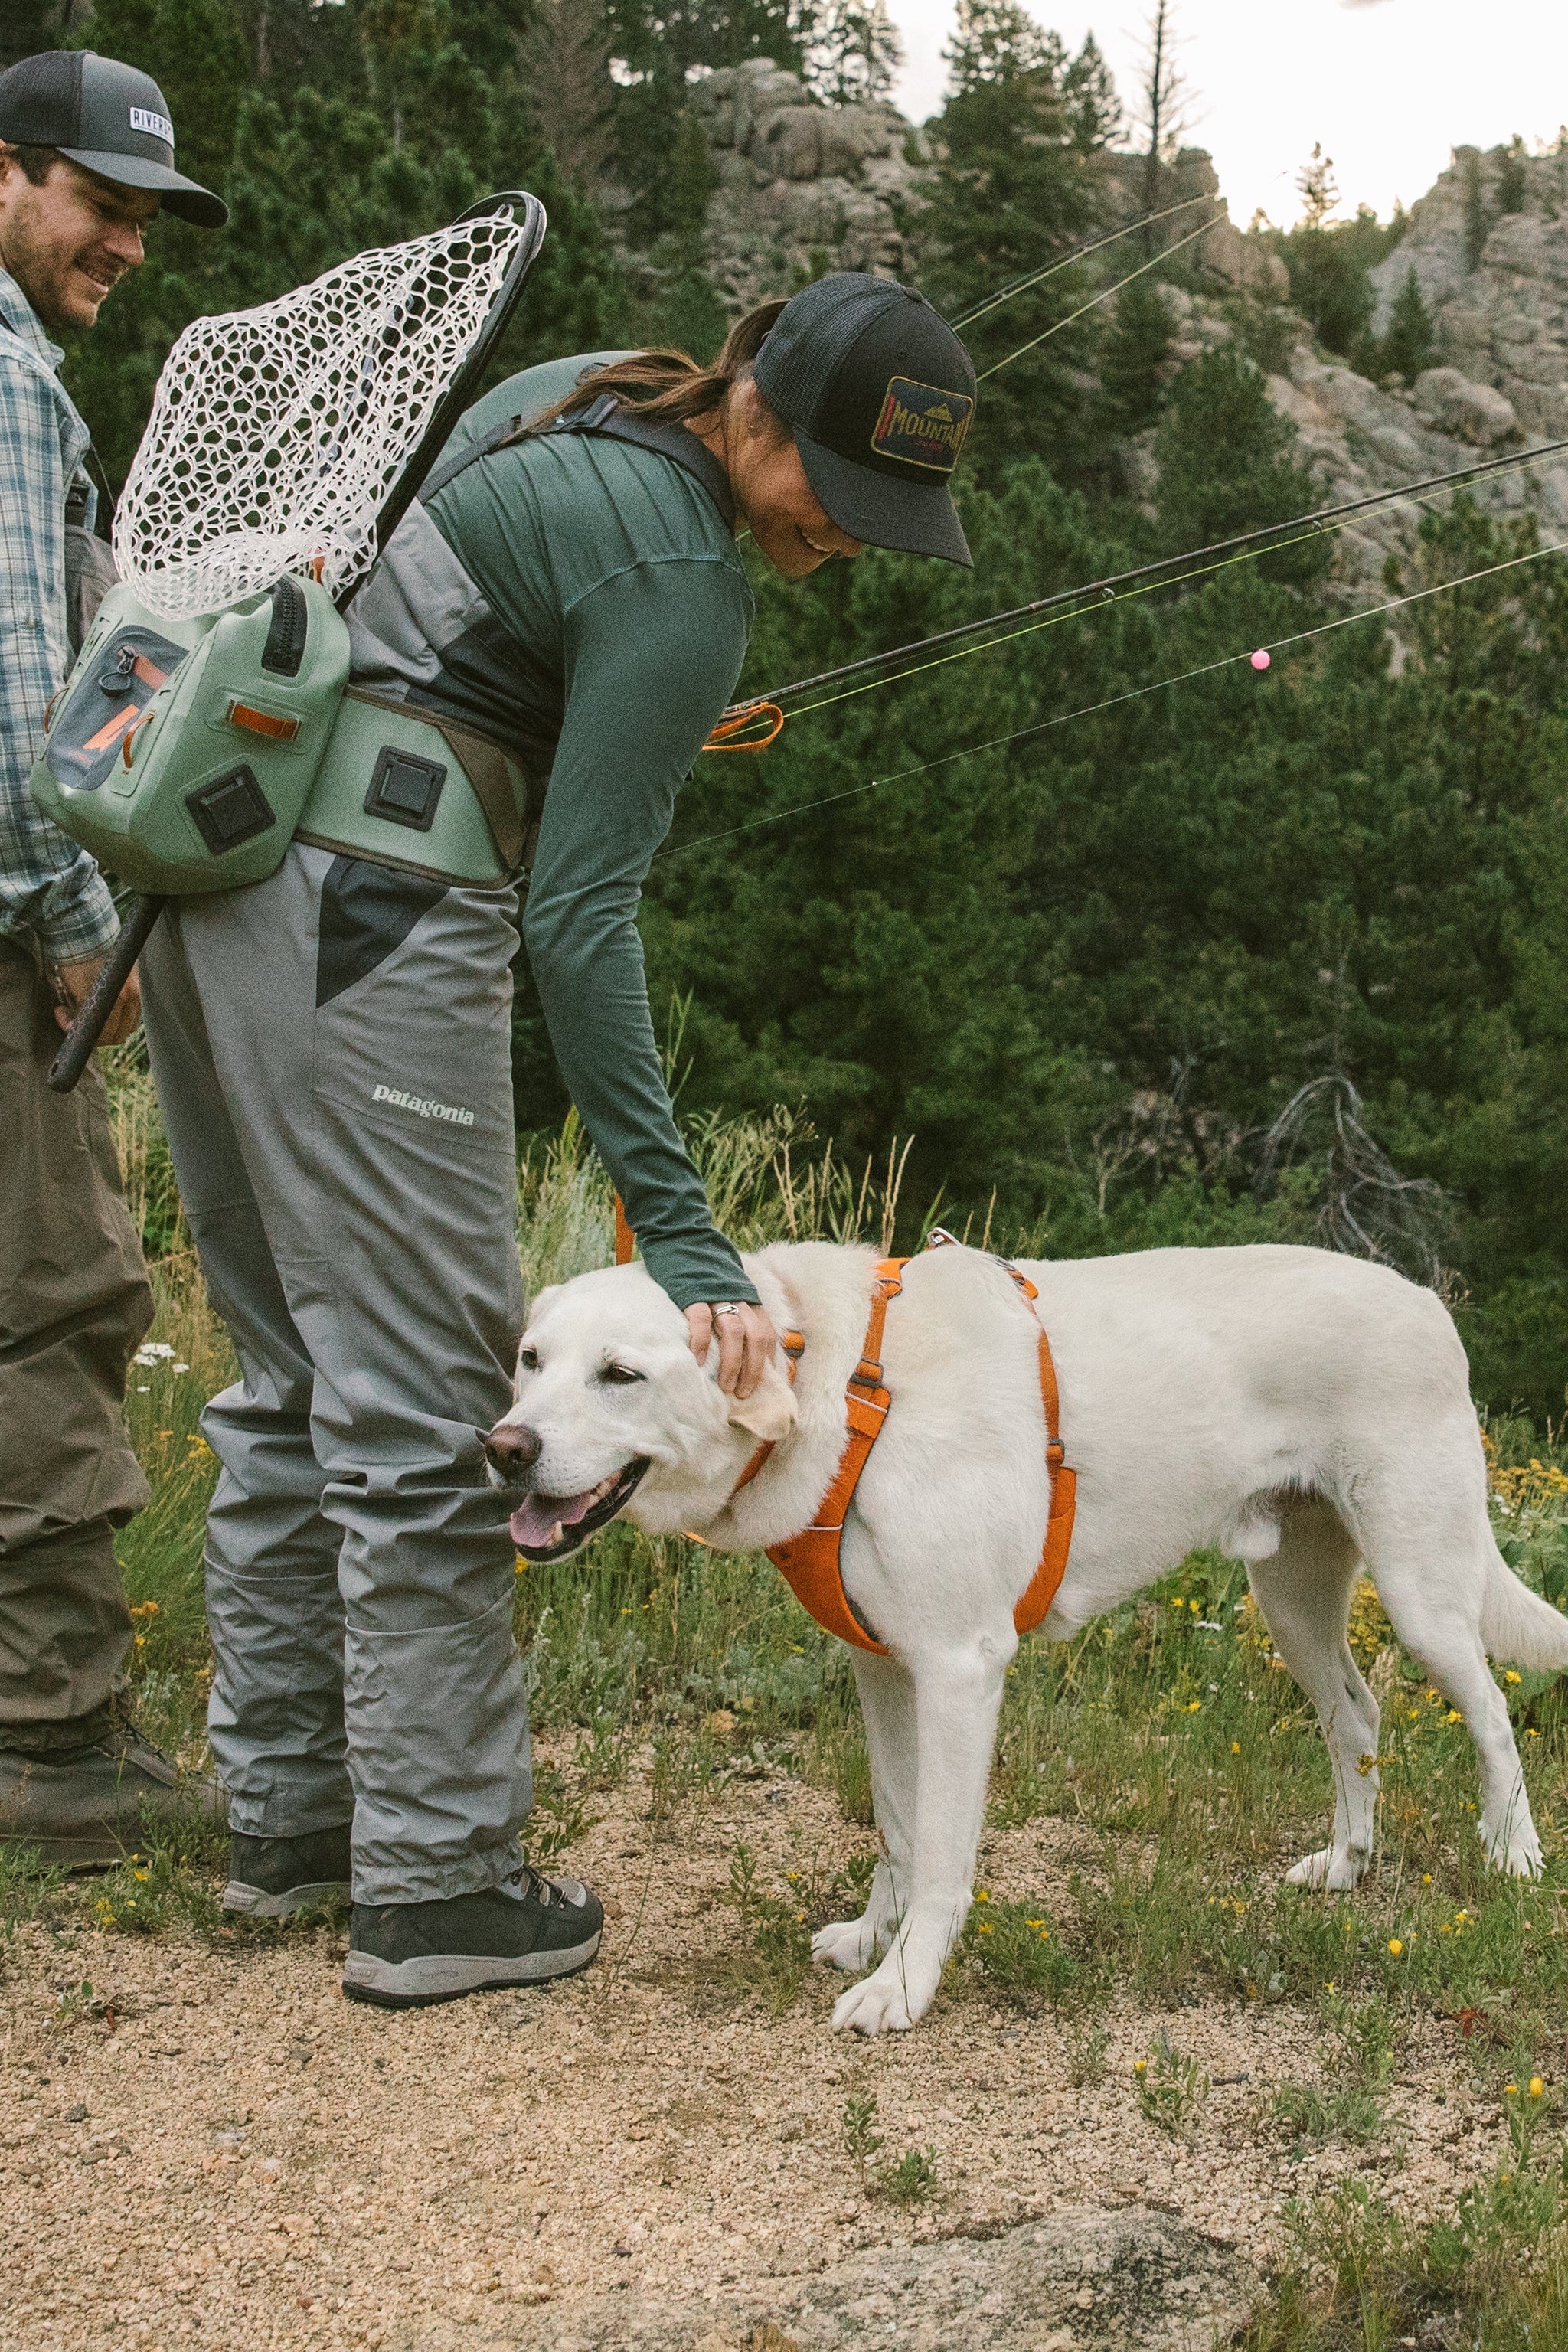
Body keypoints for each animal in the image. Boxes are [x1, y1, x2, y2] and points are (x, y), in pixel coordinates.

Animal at [484, 1242, 1560, 2032]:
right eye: (531, 1360)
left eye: (620, 1374)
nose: (503, 1450)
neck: (836, 1378)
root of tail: (1421, 1297)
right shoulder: (884, 1671)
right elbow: (897, 1829)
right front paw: (872, 1941)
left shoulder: (960, 1670)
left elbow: (942, 1859)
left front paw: (903, 1989)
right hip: (1291, 1602)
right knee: (1357, 1718)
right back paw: (1346, 1864)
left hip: (1422, 1592)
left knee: (1490, 1714)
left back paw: (1511, 1857)